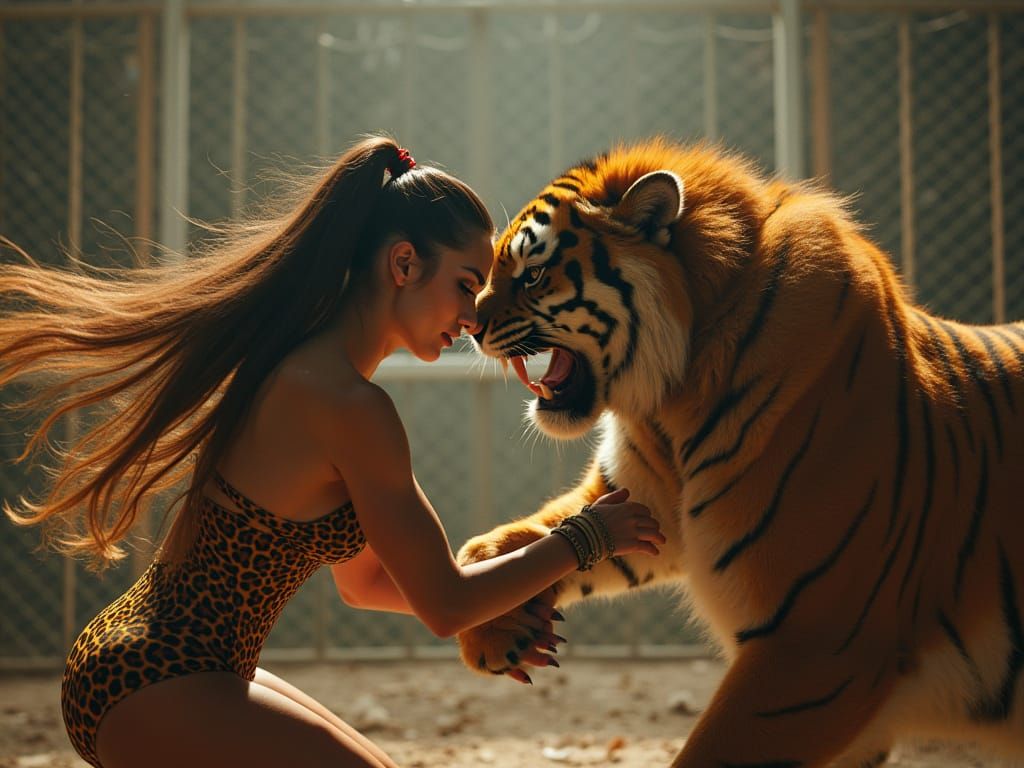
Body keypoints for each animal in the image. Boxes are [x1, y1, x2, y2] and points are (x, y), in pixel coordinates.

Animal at [455, 137, 1024, 767]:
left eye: (533, 274)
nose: (470, 327)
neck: (673, 399)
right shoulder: (645, 502)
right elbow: (521, 539)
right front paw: (495, 628)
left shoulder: (814, 649)